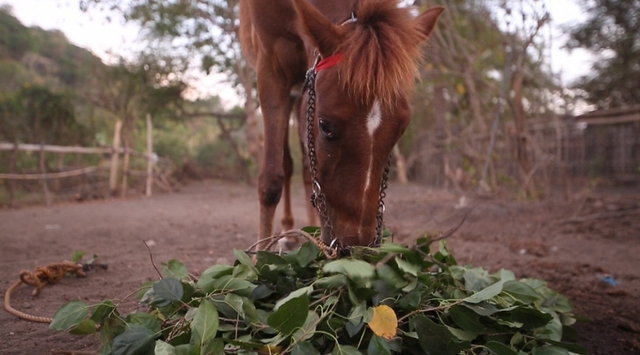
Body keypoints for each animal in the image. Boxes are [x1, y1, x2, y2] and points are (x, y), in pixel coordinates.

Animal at [238, 0, 442, 252]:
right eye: (325, 125)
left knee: (305, 168)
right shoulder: (271, 66)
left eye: (400, 129)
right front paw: (259, 258)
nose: (356, 242)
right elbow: (271, 180)